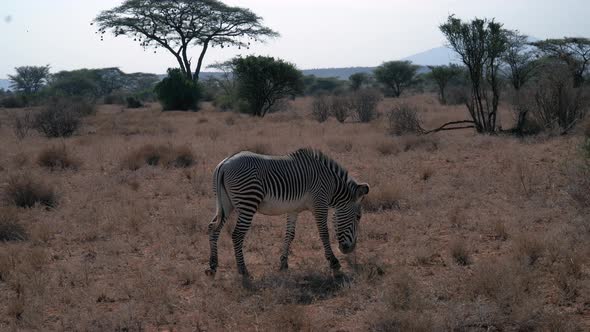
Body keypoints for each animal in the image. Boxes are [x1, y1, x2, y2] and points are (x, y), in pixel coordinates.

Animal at [206, 147, 368, 278]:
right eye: (358, 217)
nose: (350, 249)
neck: (332, 185)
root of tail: (225, 163)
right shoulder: (320, 205)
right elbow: (324, 233)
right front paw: (334, 263)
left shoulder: (293, 209)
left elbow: (290, 234)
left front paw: (283, 263)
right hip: (248, 203)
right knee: (237, 235)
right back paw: (243, 270)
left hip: (226, 204)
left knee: (213, 228)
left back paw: (212, 266)